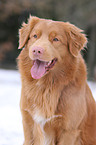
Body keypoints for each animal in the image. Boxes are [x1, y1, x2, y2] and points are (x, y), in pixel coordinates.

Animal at [17, 15, 96, 144]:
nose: (36, 50)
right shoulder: (29, 124)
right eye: (35, 36)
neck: (47, 86)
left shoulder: (69, 130)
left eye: (55, 39)